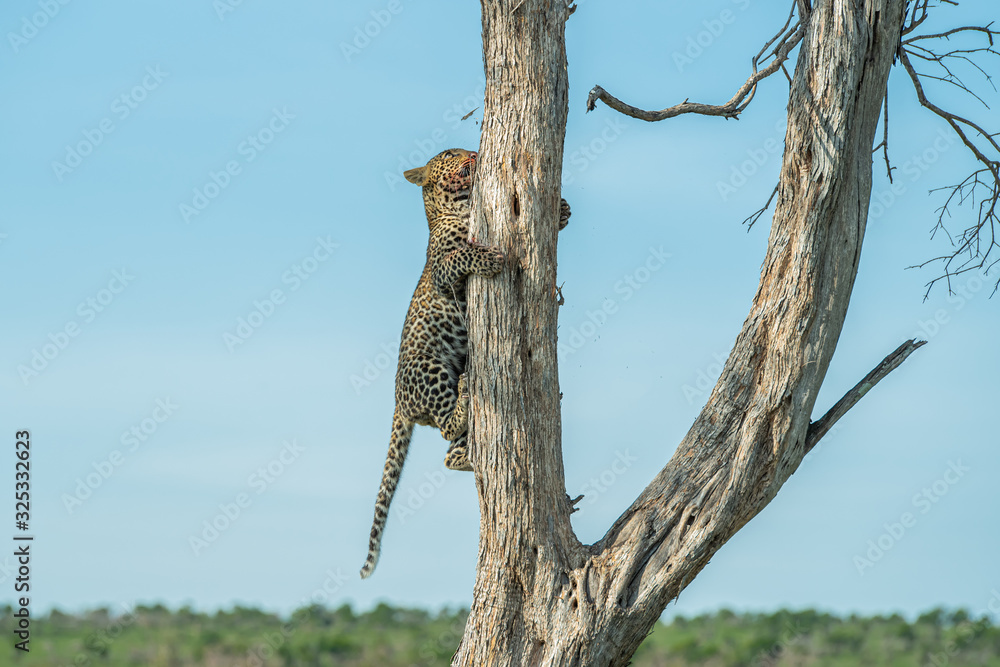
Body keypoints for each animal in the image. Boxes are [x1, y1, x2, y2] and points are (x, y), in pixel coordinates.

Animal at [360, 147, 570, 579]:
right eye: (448, 154)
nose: (473, 152)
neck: (455, 210)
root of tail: (399, 402)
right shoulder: (444, 270)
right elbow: (460, 255)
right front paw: (488, 259)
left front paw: (561, 209)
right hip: (432, 368)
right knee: (445, 429)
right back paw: (464, 395)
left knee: (451, 451)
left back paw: (471, 451)